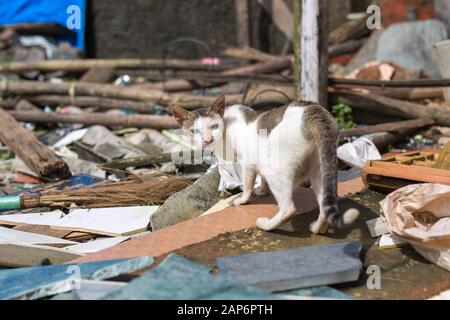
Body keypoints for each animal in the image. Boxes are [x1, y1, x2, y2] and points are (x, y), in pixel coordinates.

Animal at [171, 95, 360, 235]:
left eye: (214, 126)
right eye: (194, 131)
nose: (207, 140)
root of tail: (316, 111)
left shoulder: (247, 162)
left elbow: (247, 185)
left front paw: (243, 200)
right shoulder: (257, 158)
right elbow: (261, 179)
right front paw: (263, 190)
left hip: (275, 167)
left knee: (289, 208)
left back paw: (267, 225)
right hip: (320, 170)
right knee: (324, 205)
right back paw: (317, 228)